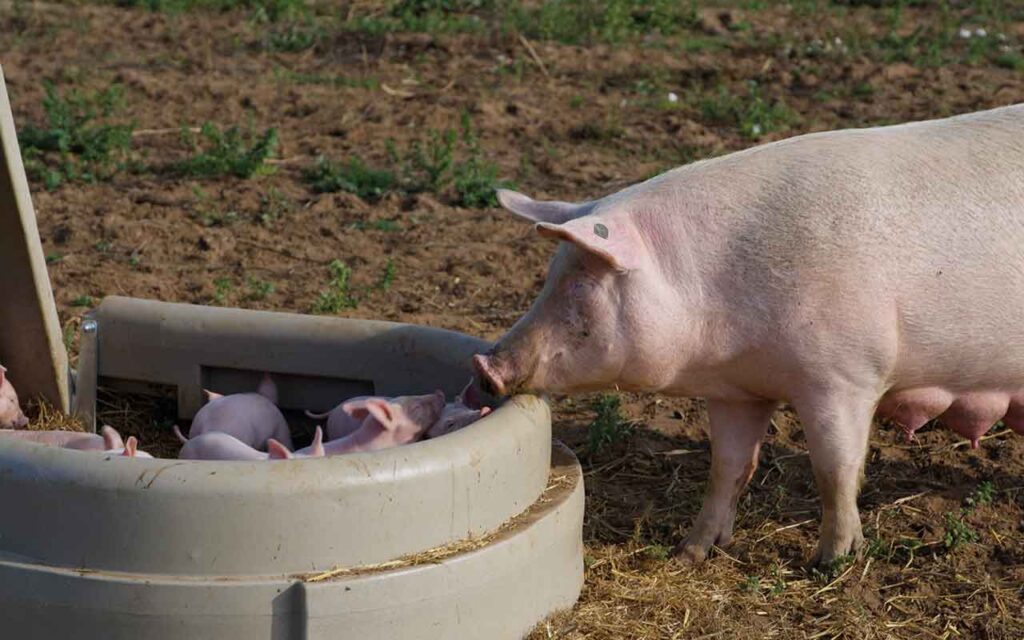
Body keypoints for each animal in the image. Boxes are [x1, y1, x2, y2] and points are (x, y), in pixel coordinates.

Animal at [472, 103, 1024, 566]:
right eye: (548, 277)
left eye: (582, 282)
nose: (485, 366)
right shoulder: (737, 391)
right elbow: (728, 467)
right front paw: (690, 553)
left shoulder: (844, 377)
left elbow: (835, 470)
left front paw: (830, 562)